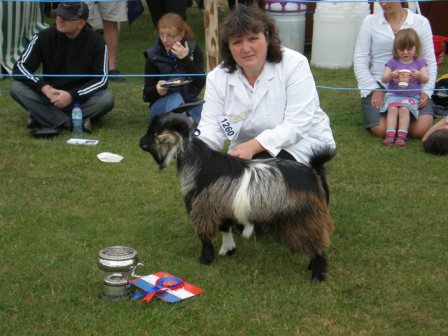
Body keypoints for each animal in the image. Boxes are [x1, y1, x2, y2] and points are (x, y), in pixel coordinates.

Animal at [140, 113, 336, 280]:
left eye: (155, 132)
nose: (140, 142)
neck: (199, 163)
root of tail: (313, 173)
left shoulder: (202, 209)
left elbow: (205, 237)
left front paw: (205, 259)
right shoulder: (222, 207)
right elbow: (225, 228)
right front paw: (228, 250)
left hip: (304, 218)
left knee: (317, 244)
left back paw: (317, 274)